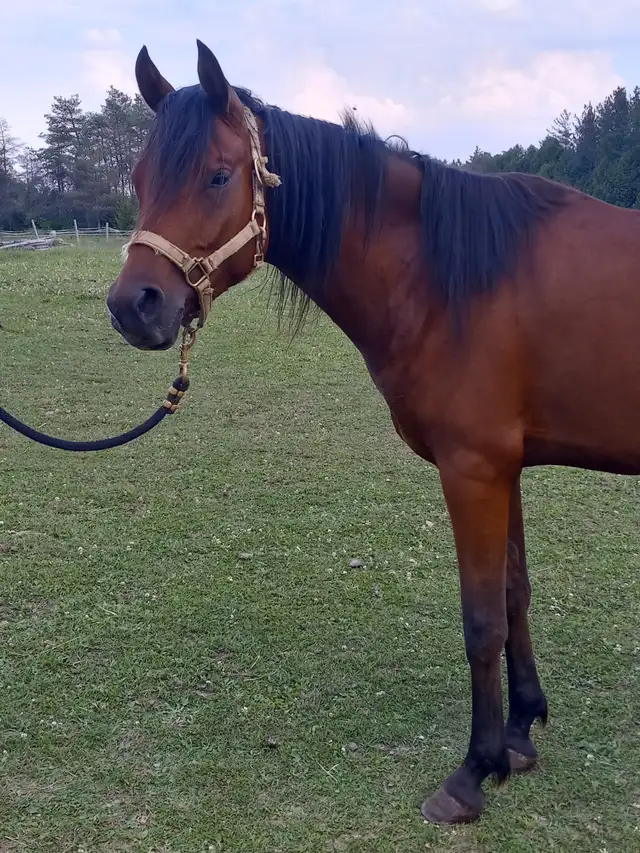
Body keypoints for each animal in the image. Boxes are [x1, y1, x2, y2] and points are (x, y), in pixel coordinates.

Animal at [107, 40, 640, 825]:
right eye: (140, 179)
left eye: (218, 174)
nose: (133, 305)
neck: (448, 276)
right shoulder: (504, 466)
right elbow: (514, 594)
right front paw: (518, 735)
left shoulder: (473, 468)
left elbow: (481, 618)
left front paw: (473, 771)